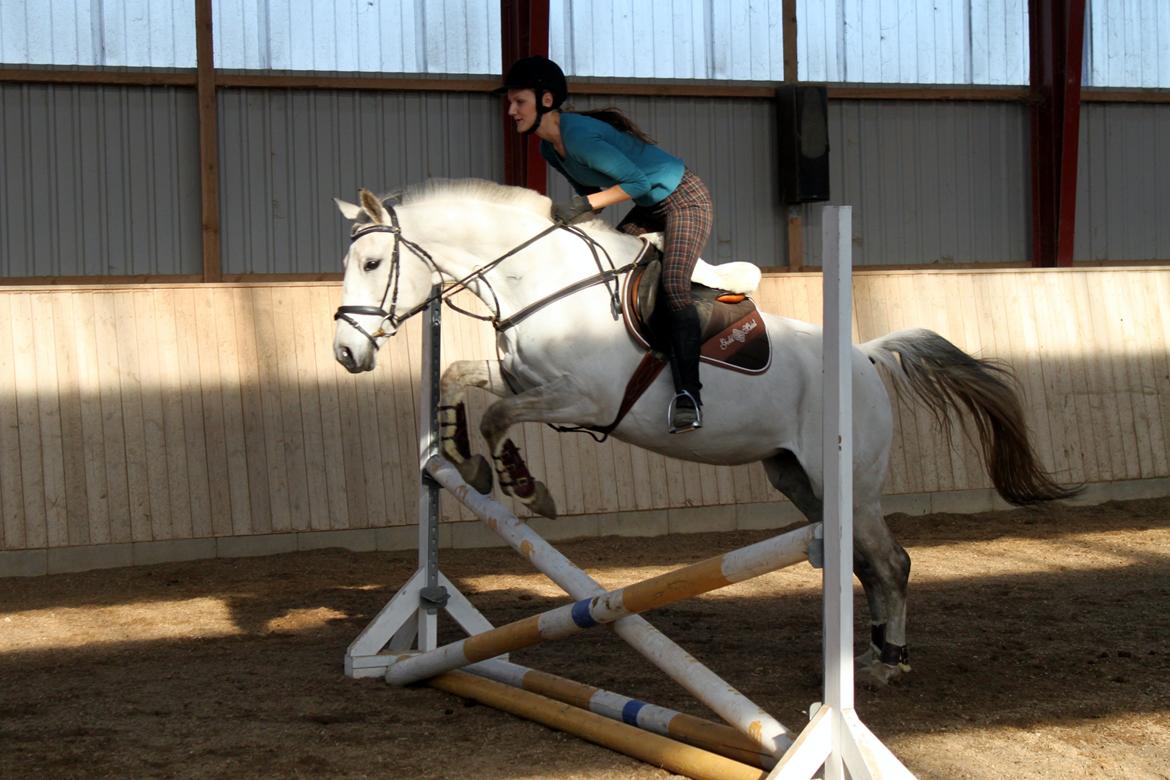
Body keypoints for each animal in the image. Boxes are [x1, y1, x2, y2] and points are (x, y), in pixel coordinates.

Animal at [329, 181, 1076, 682]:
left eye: (371, 265)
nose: (345, 354)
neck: (537, 280)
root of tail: (865, 356)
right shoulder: (523, 377)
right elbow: (460, 379)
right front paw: (466, 461)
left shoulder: (584, 398)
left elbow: (496, 415)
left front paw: (523, 486)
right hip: (796, 478)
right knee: (866, 563)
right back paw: (868, 650)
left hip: (850, 483)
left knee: (891, 563)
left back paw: (888, 661)